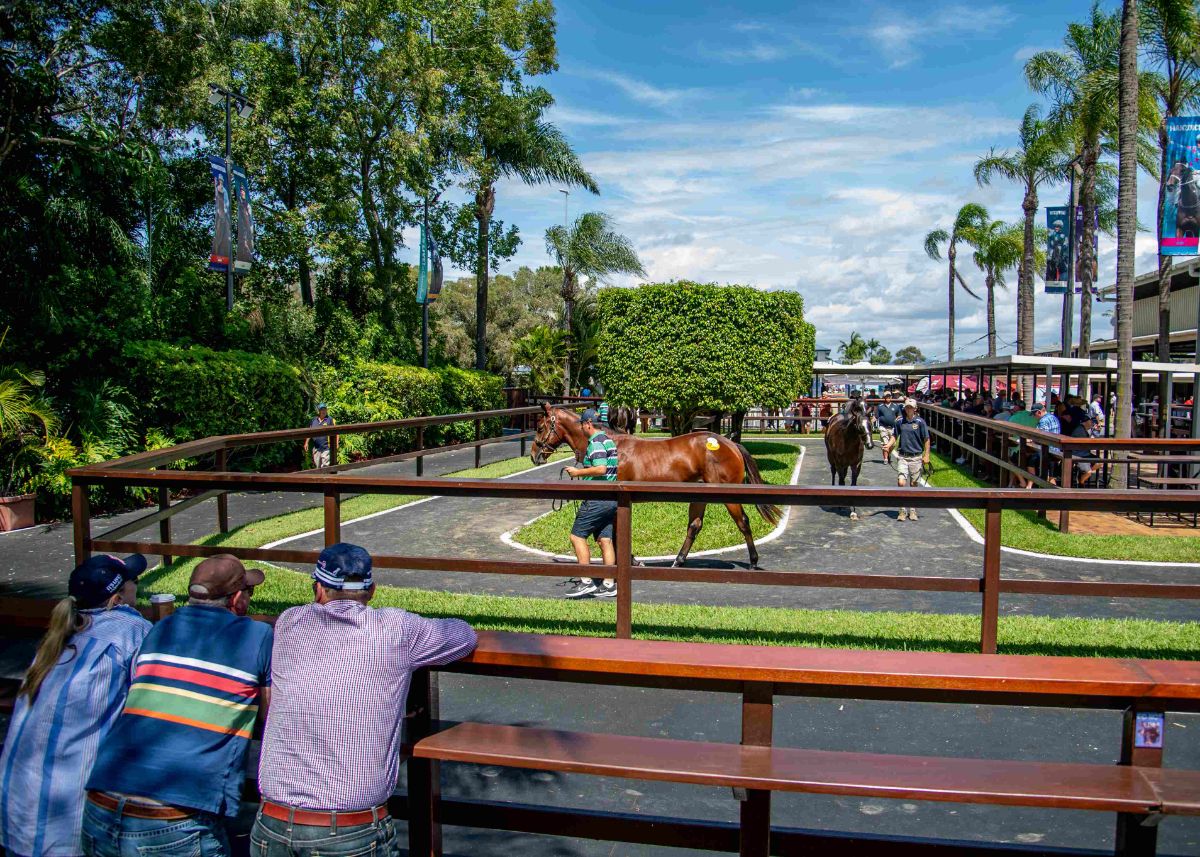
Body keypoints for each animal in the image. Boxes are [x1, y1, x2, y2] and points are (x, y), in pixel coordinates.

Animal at [531, 403, 781, 569]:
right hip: (700, 496)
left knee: (743, 522)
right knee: (695, 526)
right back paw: (678, 561)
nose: (534, 455)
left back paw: (753, 561)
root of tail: (730, 443)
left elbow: (617, 532)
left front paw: (632, 560)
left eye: (540, 427)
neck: (611, 445)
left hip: (728, 496)